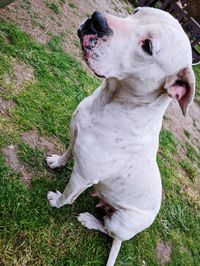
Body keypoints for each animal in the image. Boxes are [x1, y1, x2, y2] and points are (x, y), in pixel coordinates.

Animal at [46, 7, 195, 264]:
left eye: (148, 46)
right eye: (136, 11)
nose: (97, 20)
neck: (109, 102)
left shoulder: (82, 176)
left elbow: (68, 196)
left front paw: (56, 202)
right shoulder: (76, 134)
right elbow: (68, 152)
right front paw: (57, 162)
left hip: (122, 222)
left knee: (108, 230)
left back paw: (89, 220)